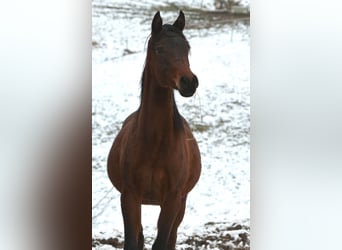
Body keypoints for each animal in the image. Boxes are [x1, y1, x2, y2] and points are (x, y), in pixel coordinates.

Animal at [107, 10, 200, 249]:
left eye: (187, 48)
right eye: (159, 49)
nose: (189, 82)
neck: (155, 144)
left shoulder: (173, 199)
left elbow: (162, 241)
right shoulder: (130, 196)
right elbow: (132, 241)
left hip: (181, 204)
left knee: (172, 238)